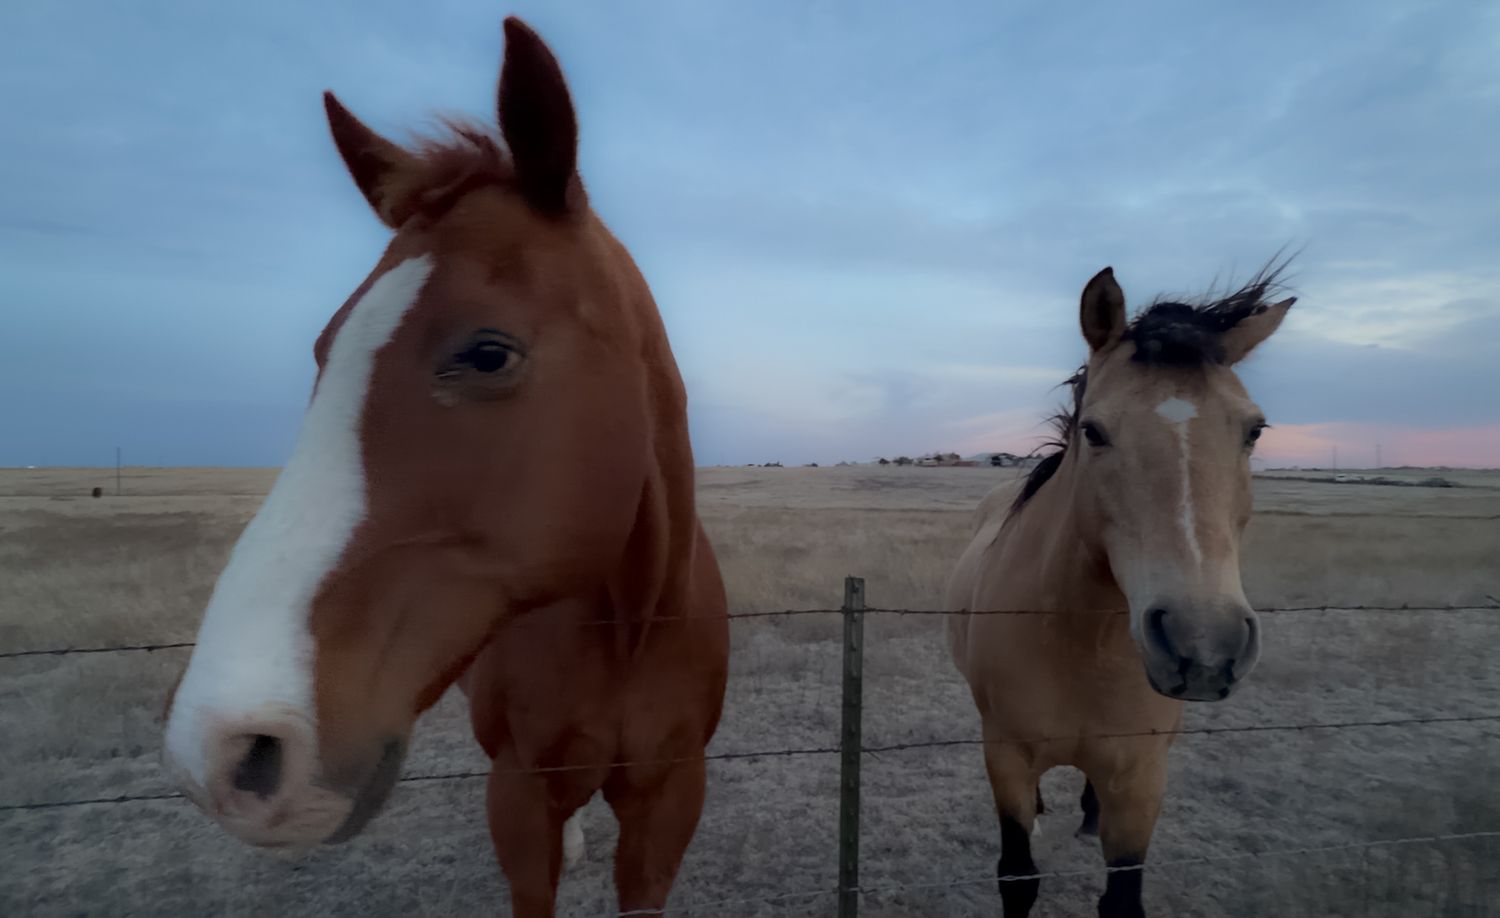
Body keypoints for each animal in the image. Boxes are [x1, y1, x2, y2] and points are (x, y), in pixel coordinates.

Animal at [161, 18, 729, 917]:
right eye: (323, 351)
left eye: (487, 352)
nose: (224, 747)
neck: (628, 629)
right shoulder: (520, 796)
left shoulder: (670, 800)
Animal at [946, 264, 1294, 917]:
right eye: (1095, 430)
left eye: (1254, 430)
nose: (1203, 644)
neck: (1080, 639)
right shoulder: (1005, 756)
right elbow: (1017, 874)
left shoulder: (1141, 776)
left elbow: (1123, 897)